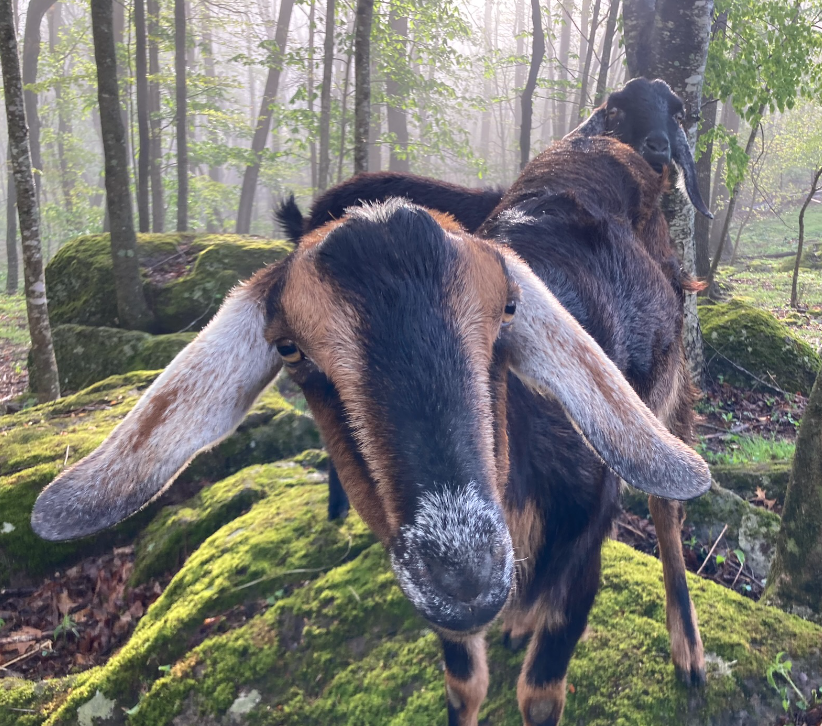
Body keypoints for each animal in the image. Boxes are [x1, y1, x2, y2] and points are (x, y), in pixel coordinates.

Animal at [32, 132, 711, 726]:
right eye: (289, 349)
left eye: (508, 311)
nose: (464, 574)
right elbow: (463, 686)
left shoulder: (586, 548)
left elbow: (541, 694)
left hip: (671, 383)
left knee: (668, 506)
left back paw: (689, 657)